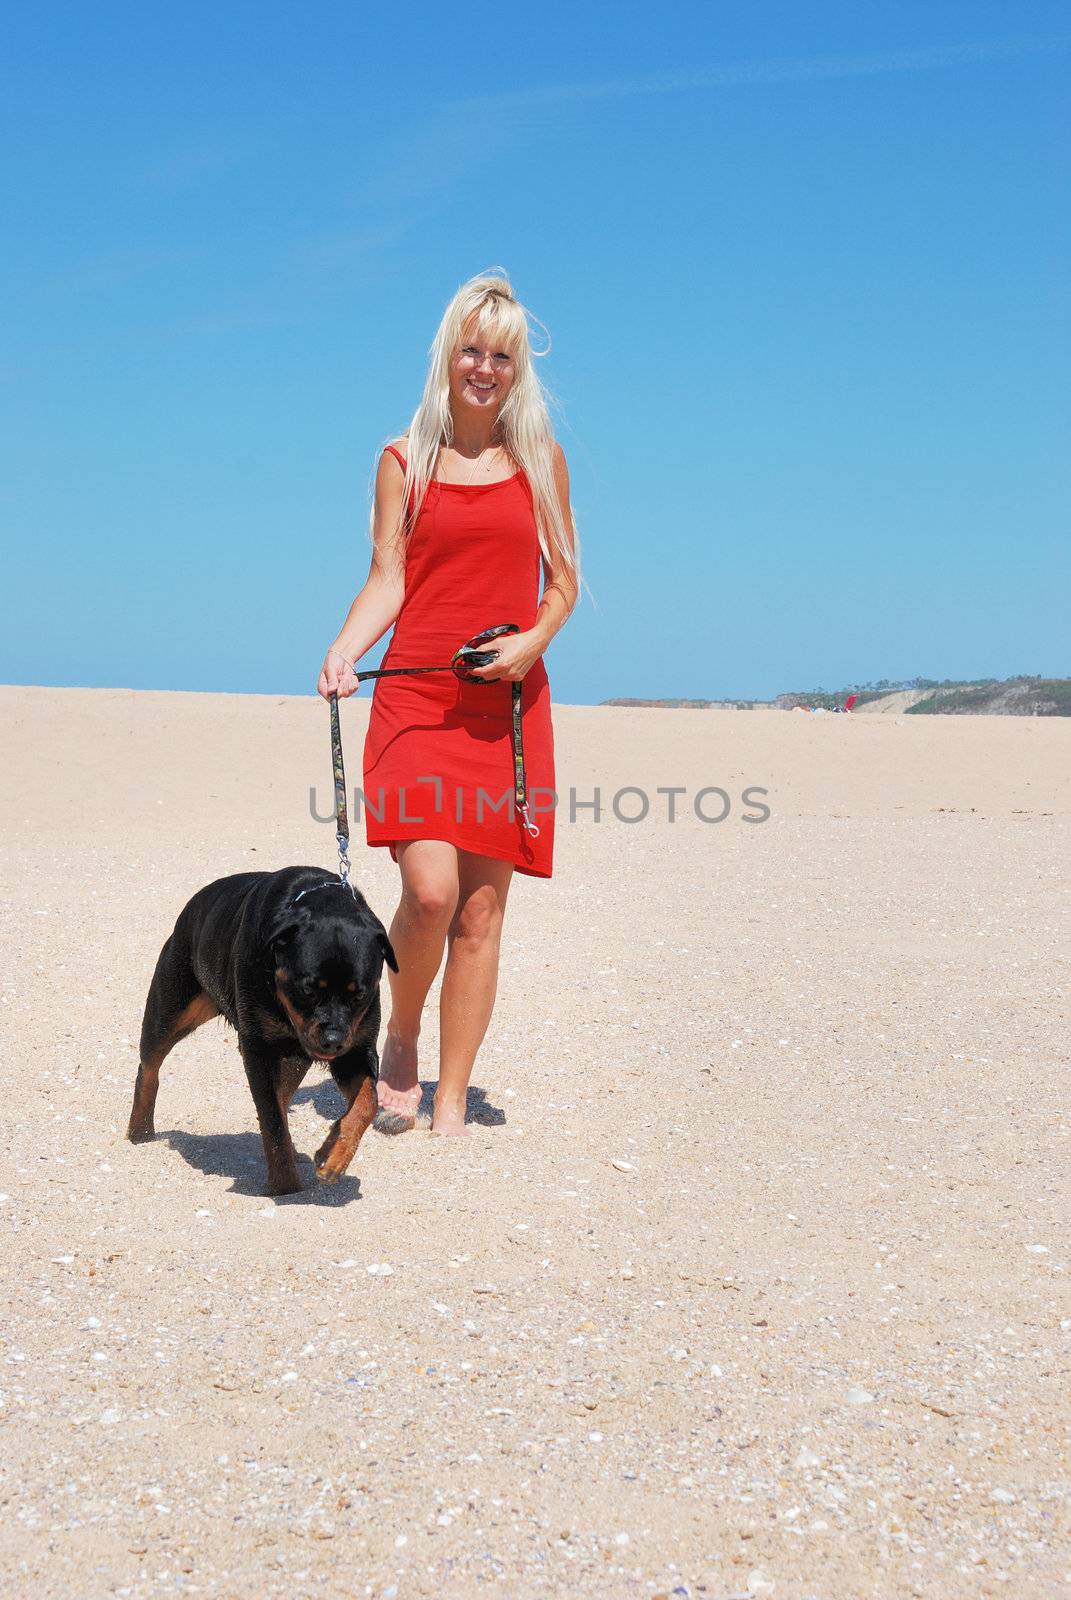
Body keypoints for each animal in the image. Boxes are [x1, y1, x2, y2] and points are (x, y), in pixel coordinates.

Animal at [125, 870, 398, 1196]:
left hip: (294, 1057)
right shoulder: (258, 1049)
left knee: (284, 1094)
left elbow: (367, 1103)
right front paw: (285, 1186)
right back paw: (139, 1130)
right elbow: (272, 1120)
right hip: (171, 1008)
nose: (332, 1041)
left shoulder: (356, 1050)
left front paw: (333, 1156)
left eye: (359, 994)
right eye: (308, 989)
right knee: (149, 1066)